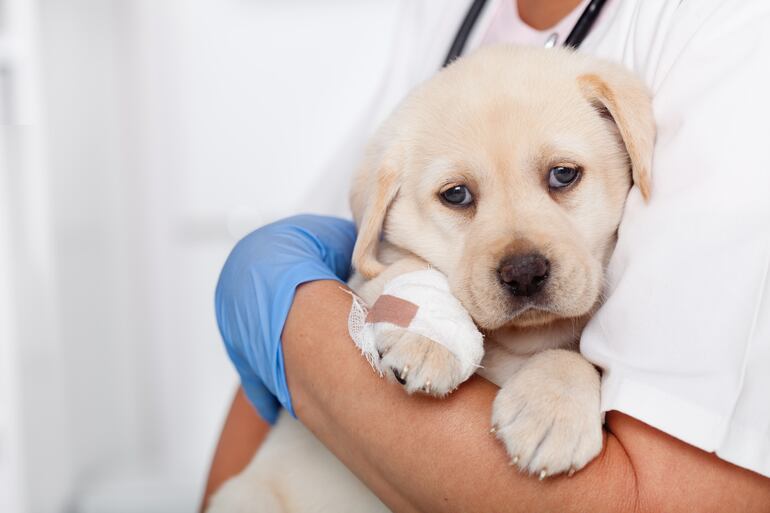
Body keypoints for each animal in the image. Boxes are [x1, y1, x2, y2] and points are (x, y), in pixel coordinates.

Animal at [207, 45, 652, 512]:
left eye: (563, 174)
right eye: (456, 195)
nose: (524, 274)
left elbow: (578, 356)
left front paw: (552, 408)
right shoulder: (367, 271)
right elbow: (407, 266)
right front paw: (429, 338)